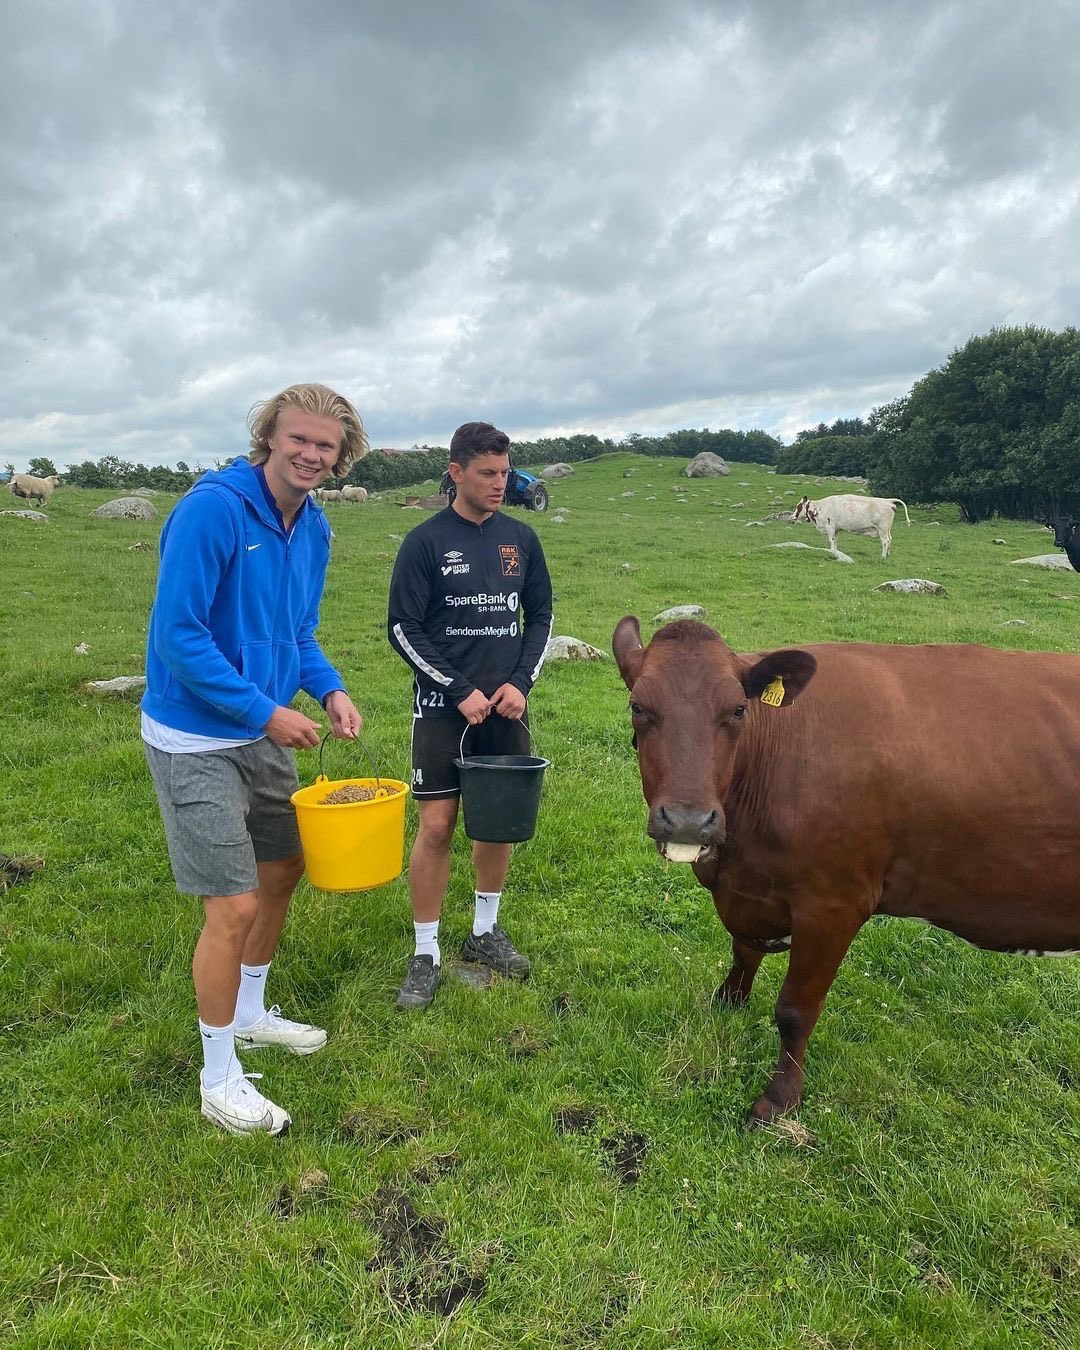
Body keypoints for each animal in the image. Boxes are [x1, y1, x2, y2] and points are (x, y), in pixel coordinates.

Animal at [615, 621, 1080, 1128]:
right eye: (638, 706)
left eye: (738, 709)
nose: (687, 821)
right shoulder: (749, 892)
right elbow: (744, 952)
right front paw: (728, 1002)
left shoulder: (834, 904)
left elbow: (796, 1010)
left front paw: (780, 1100)